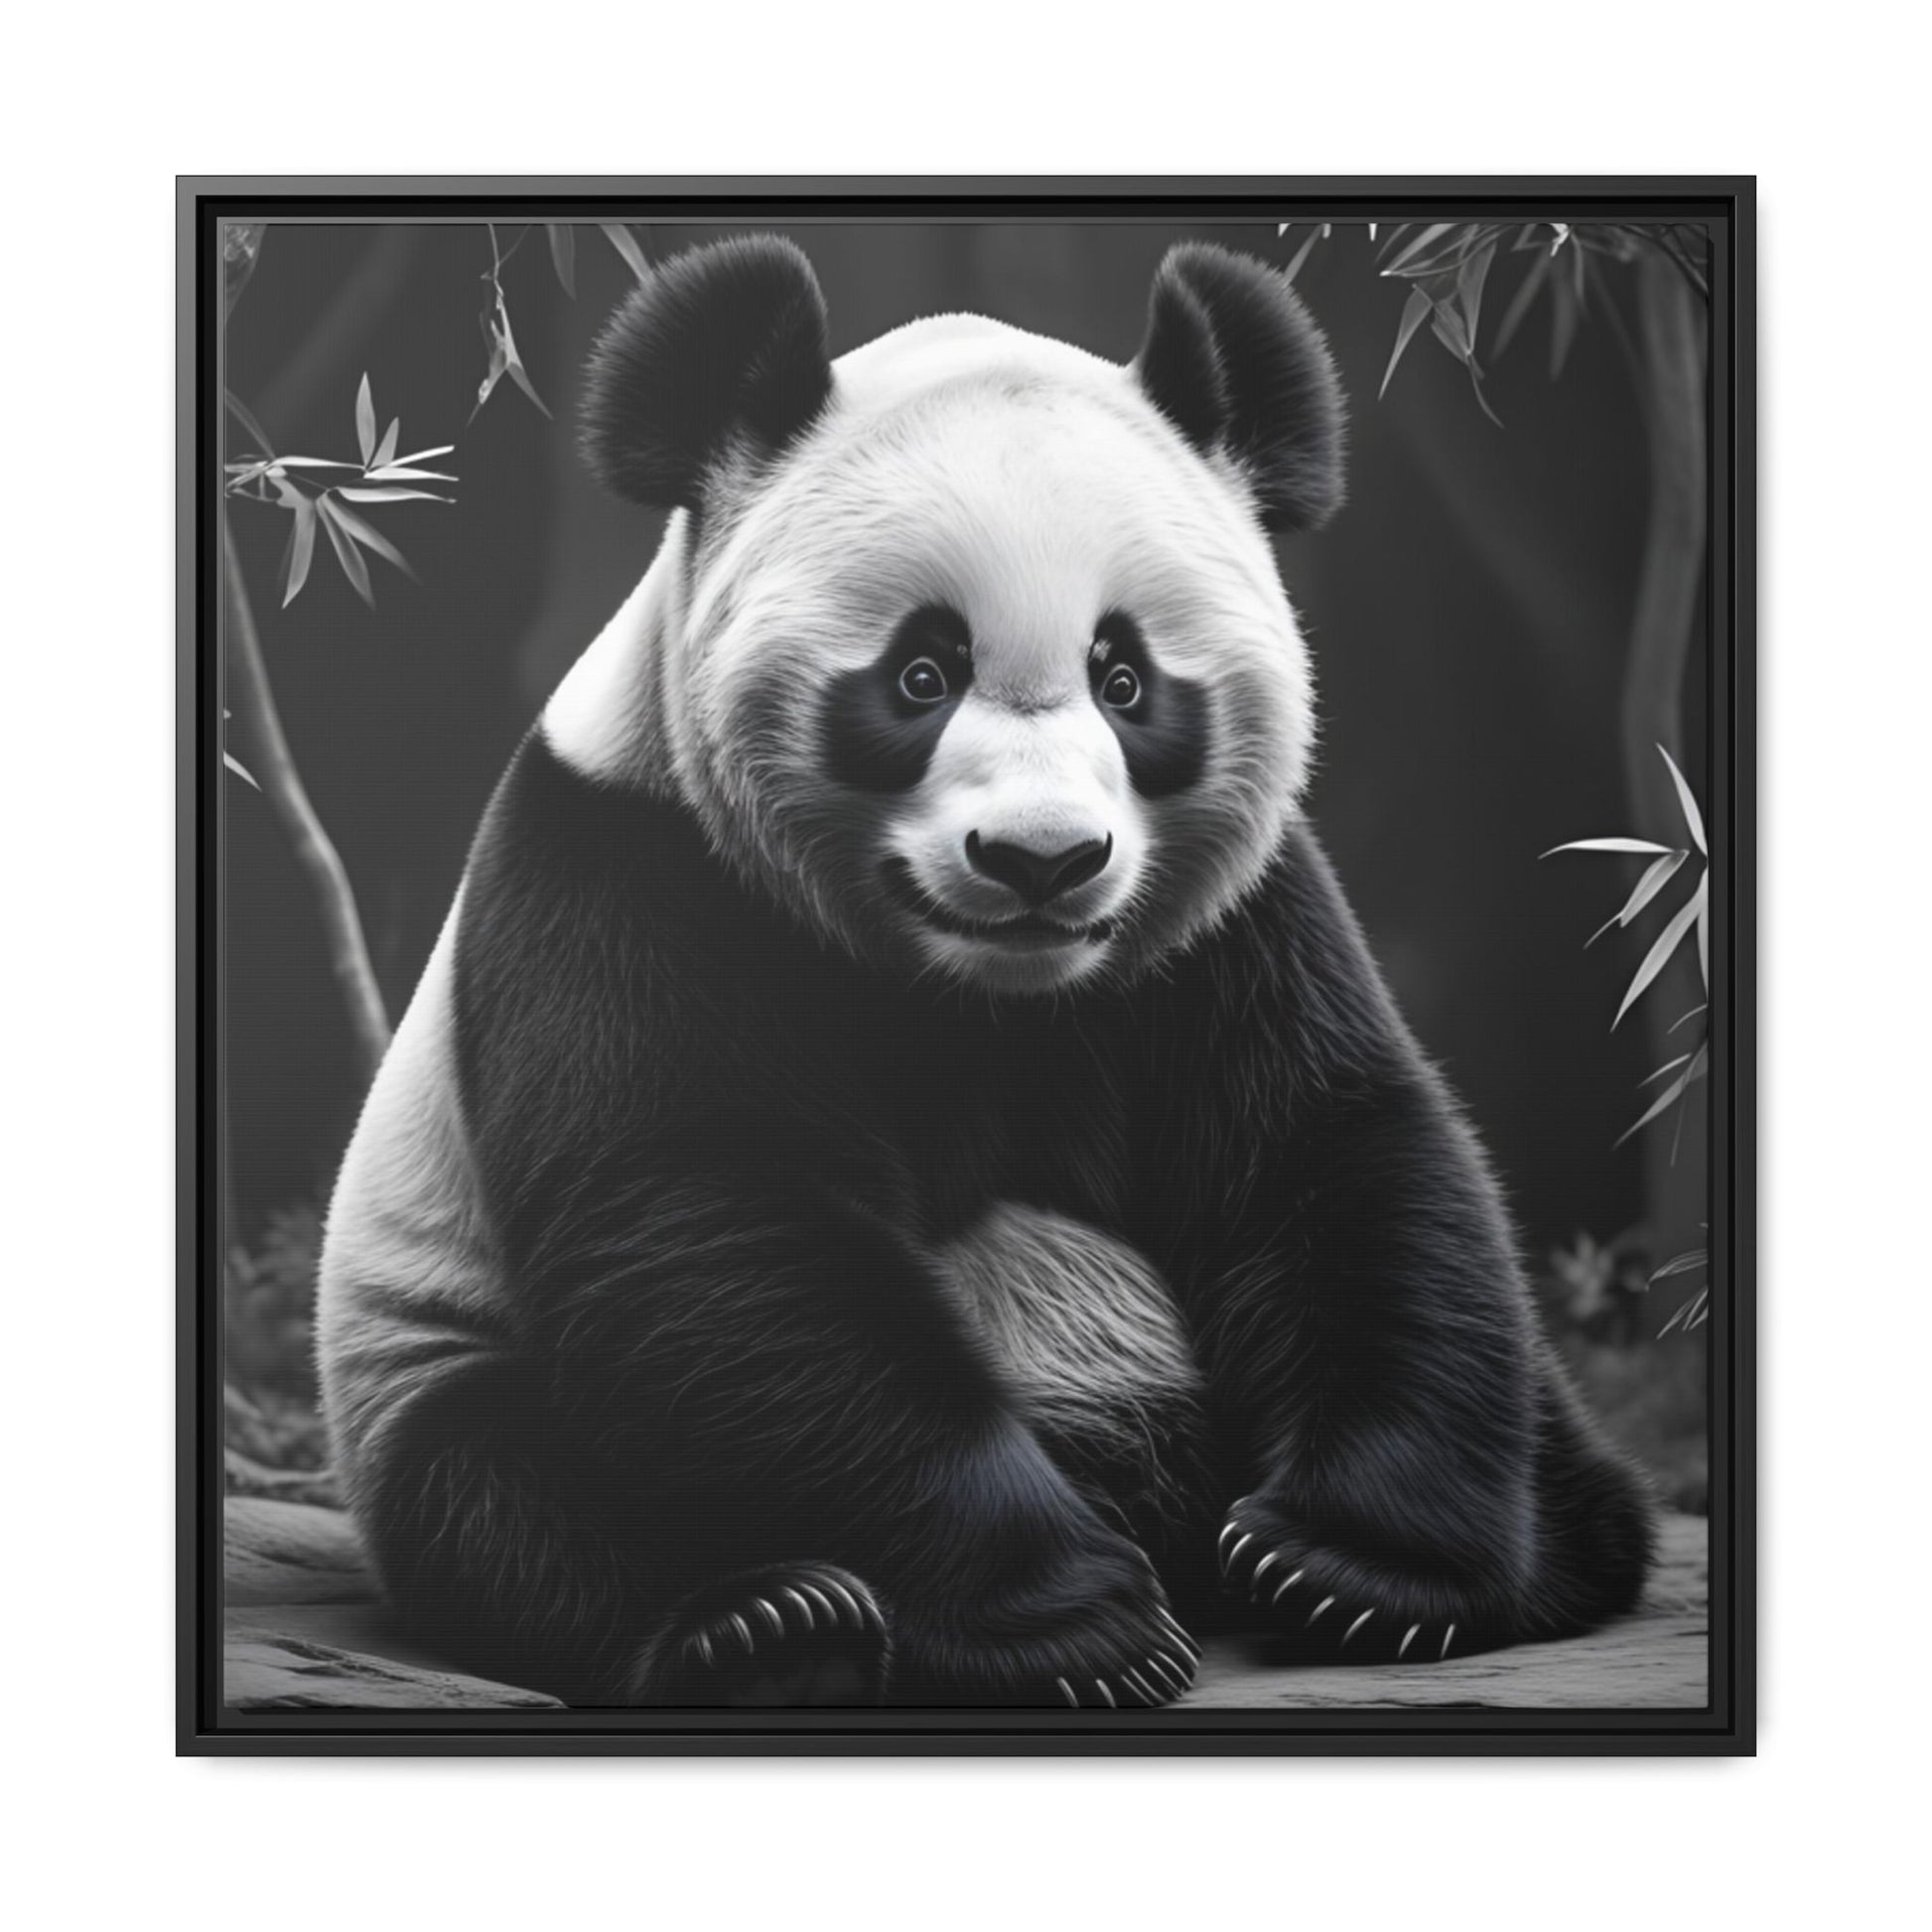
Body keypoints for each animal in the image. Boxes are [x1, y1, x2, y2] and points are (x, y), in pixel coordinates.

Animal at [317, 236, 1654, 1709]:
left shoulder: (1227, 925)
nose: (1041, 860)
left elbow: (1328, 1153)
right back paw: (770, 1627)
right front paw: (1072, 1624)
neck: (980, 995)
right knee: (510, 1492)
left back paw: (1556, 1541)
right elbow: (713, 1224)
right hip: (421, 1355)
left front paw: (1350, 1568)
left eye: (1124, 676)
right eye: (920, 672)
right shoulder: (633, 875)